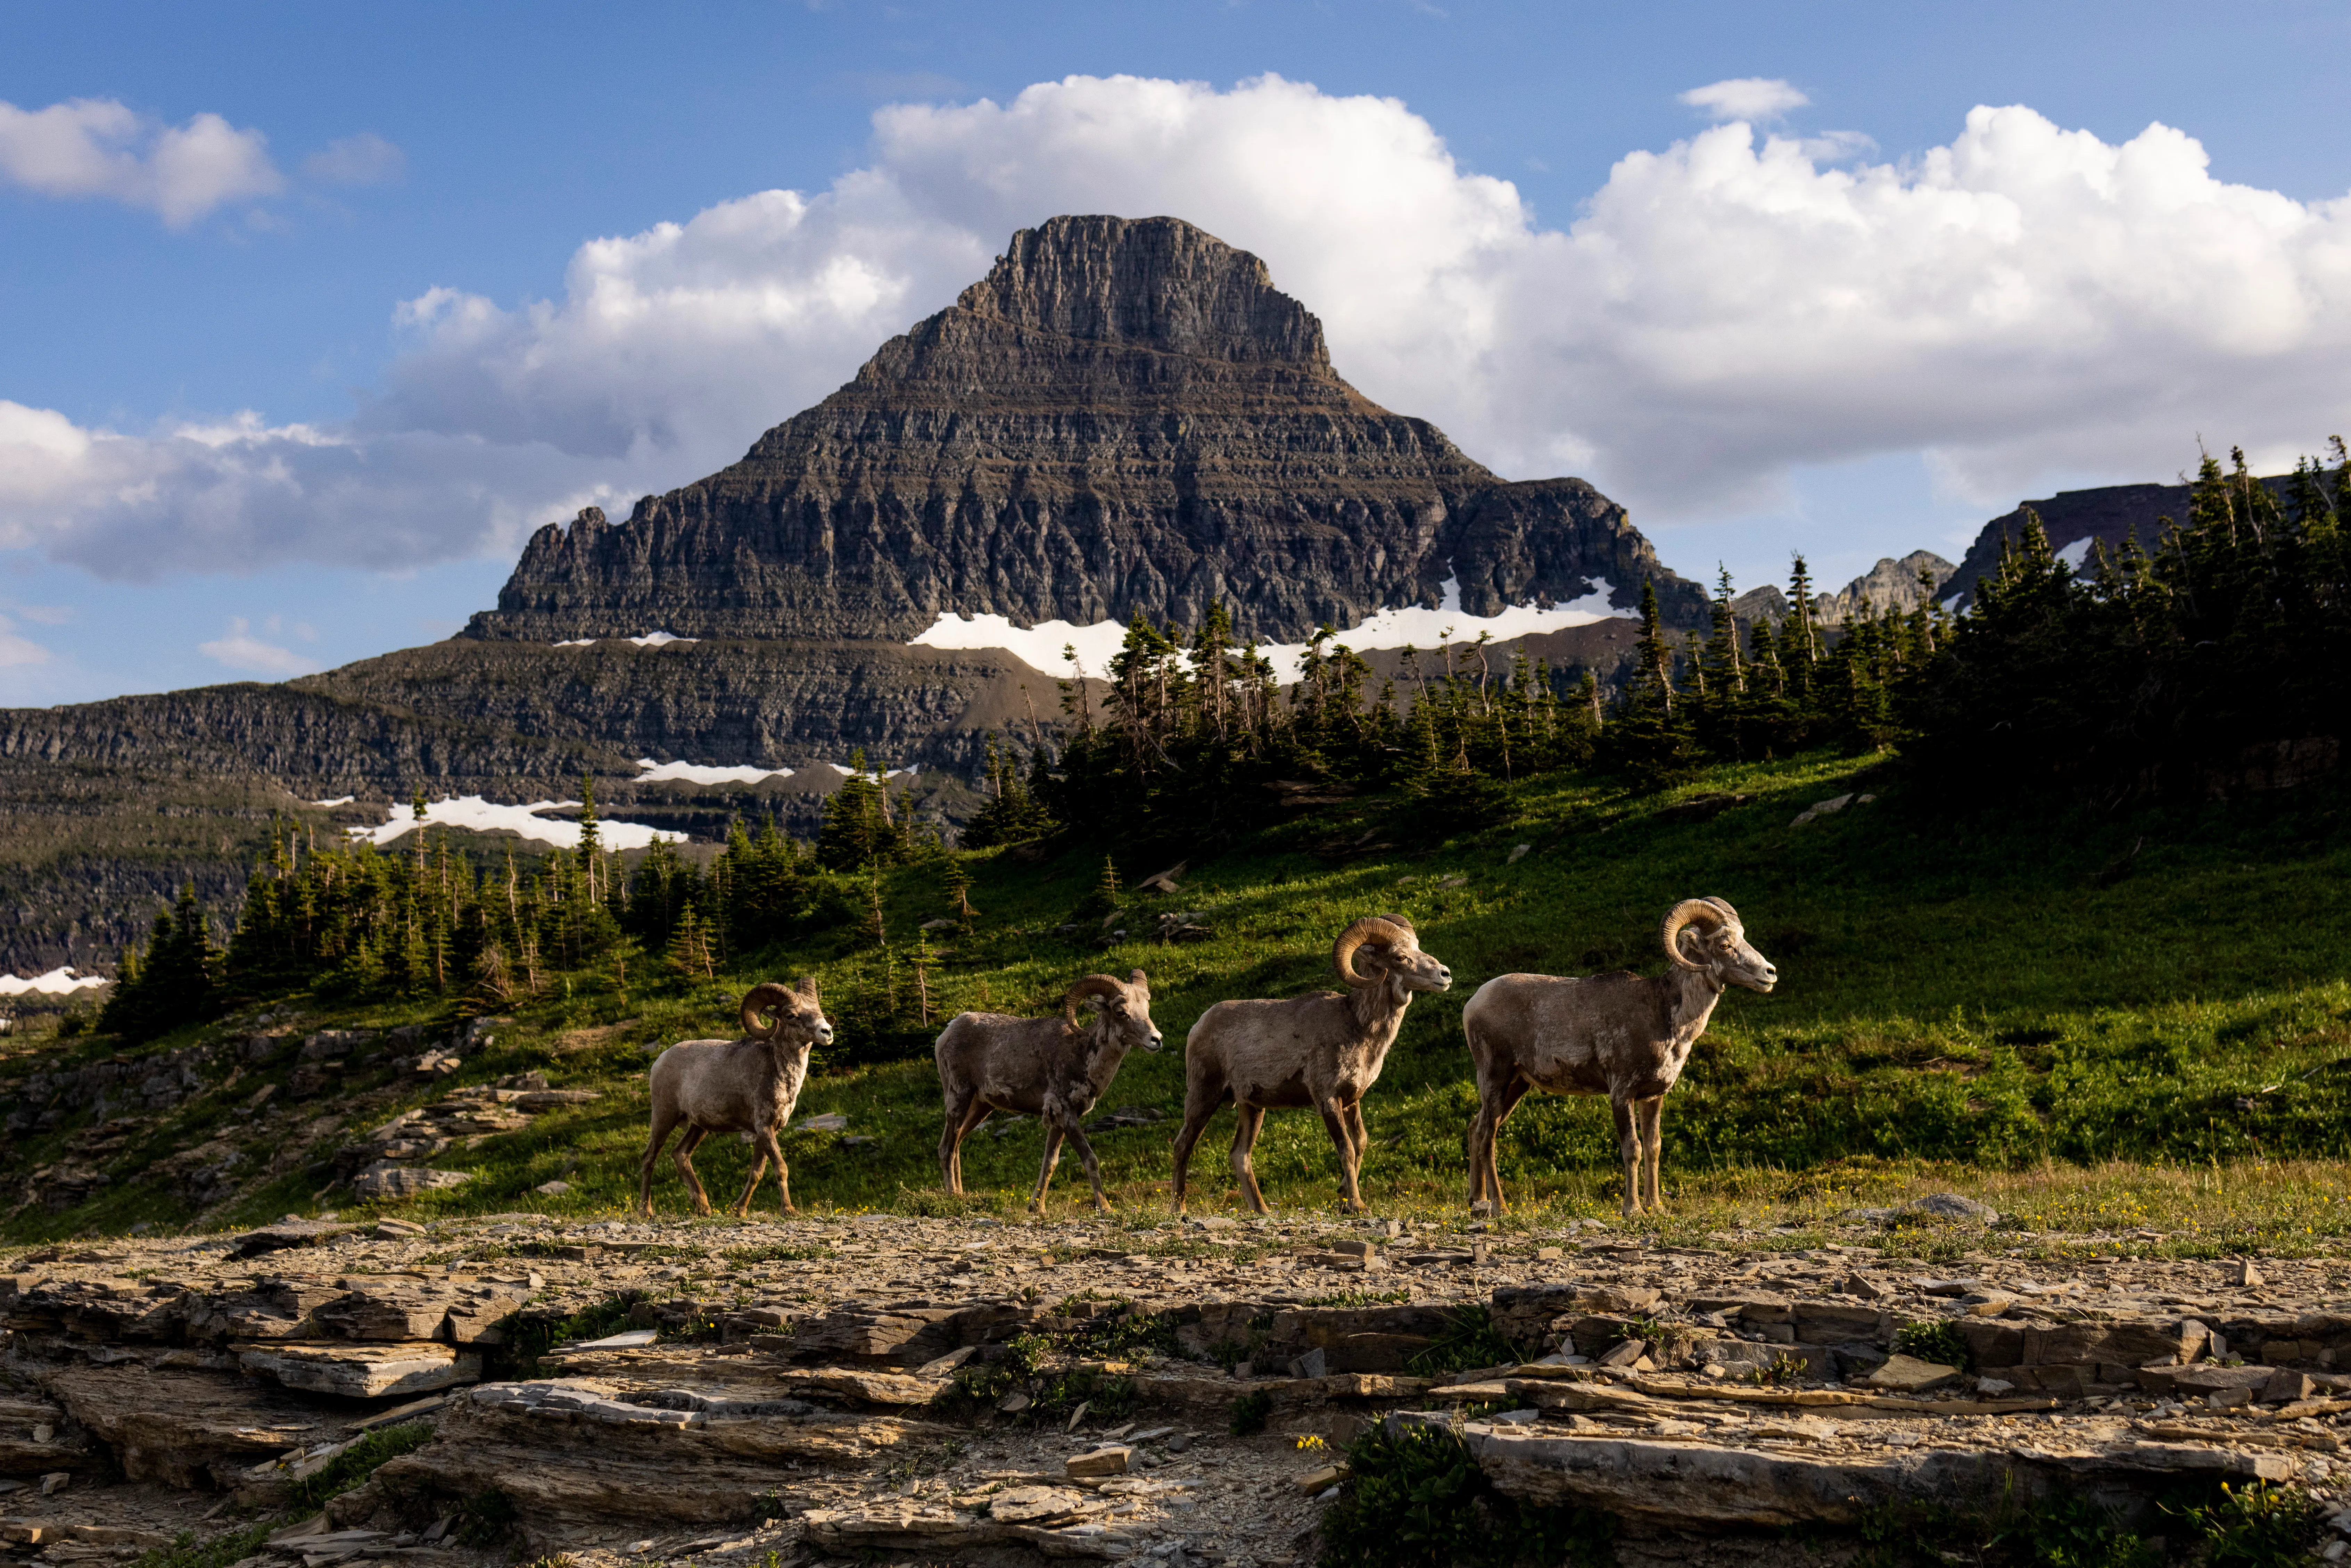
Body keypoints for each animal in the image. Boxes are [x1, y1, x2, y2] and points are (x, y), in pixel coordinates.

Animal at [638, 978, 832, 1218]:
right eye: (791, 1015)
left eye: (818, 1011)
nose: (827, 1032)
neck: (778, 1071)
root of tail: (659, 1061)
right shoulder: (764, 1127)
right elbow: (781, 1168)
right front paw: (788, 1210)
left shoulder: (768, 1131)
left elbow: (757, 1172)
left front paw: (740, 1210)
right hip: (664, 1118)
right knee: (650, 1158)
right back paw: (646, 1211)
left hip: (699, 1127)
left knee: (680, 1155)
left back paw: (705, 1208)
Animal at [934, 969, 1161, 1213]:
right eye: (1121, 1012)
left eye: (1147, 1007)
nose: (1156, 1040)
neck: (1081, 1055)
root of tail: (946, 1034)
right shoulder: (1066, 1112)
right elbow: (1090, 1160)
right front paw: (1105, 1208)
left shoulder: (1059, 1120)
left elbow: (1050, 1163)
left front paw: (1038, 1209)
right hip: (958, 1098)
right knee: (947, 1148)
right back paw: (953, 1198)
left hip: (981, 1106)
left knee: (957, 1144)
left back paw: (960, 1194)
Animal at [1172, 915, 1450, 1214]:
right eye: (1400, 957)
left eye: (1417, 947)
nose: (1445, 975)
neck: (1356, 1026)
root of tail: (1199, 1026)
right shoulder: (1328, 1099)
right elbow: (1347, 1149)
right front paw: (1357, 1205)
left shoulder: (1352, 1101)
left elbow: (1361, 1144)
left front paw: (1344, 1200)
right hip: (1205, 1096)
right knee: (1183, 1145)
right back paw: (1180, 1210)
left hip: (1252, 1108)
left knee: (1240, 1155)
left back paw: (1263, 1211)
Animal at [1461, 897, 1776, 1218]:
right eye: (1725, 945)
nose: (1770, 973)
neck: (1666, 1016)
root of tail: (1473, 1004)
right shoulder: (1622, 1093)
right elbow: (1632, 1149)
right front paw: (1633, 1210)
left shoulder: (1653, 1096)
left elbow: (1653, 1147)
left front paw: (1656, 1207)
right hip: (1495, 1077)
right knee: (1487, 1137)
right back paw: (1500, 1208)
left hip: (1517, 1085)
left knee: (1476, 1129)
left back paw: (1476, 1201)